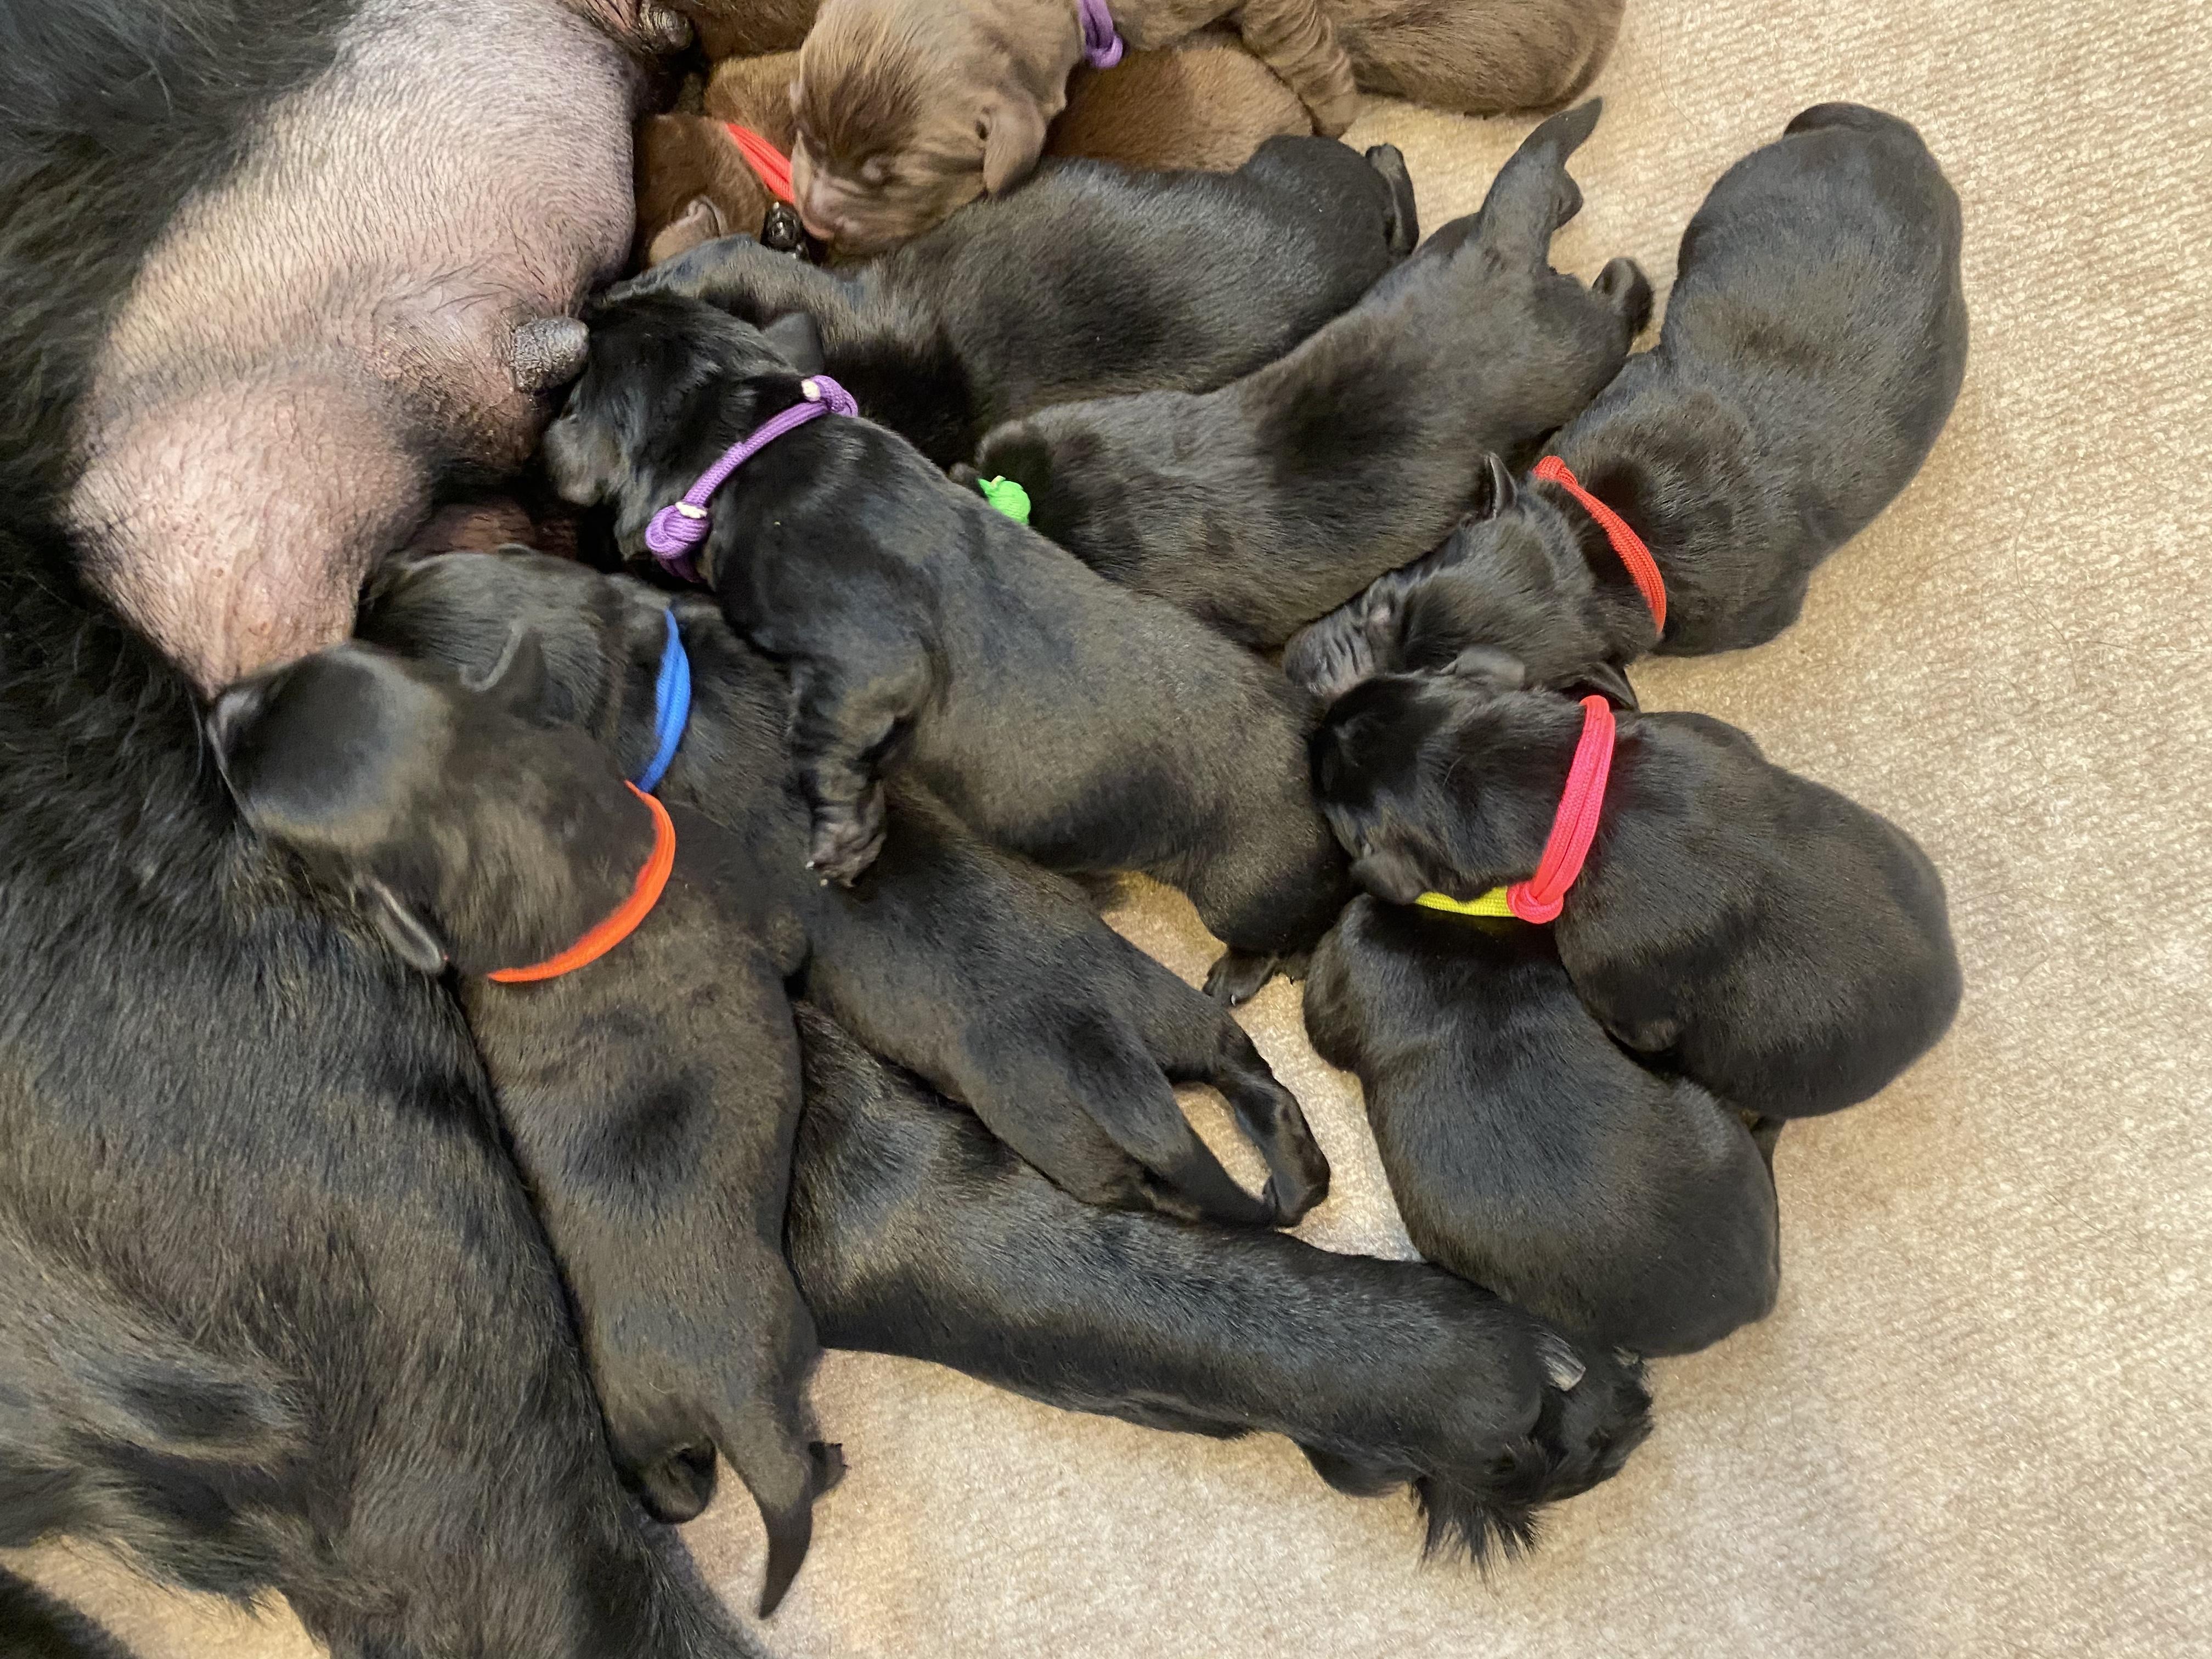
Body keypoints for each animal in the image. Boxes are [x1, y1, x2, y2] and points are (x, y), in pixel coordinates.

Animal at [207, 640, 832, 1617]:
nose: (216, 707)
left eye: (306, 667)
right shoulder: (753, 900)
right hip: (776, 1343)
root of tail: (727, 1391)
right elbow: (794, 940)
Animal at [360, 547, 1331, 1223]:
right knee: (1248, 1066)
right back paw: (1300, 1168)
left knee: (1155, 1188)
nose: (369, 577)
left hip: (1058, 1138)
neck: (644, 690)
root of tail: (1110, 1056)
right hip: (1165, 1004)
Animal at [541, 295, 1352, 1002]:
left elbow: (825, 741)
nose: (593, 306)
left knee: (1291, 928)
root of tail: (1314, 732)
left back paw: (1245, 972)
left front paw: (846, 839)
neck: (753, 444)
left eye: (578, 393)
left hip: (1248, 886)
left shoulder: (865, 661)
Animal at [1312, 671, 1963, 1117]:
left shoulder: (1610, 981)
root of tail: (1944, 1012)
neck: (1572, 798)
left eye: (1333, 805)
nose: (1318, 724)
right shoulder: (1708, 731)